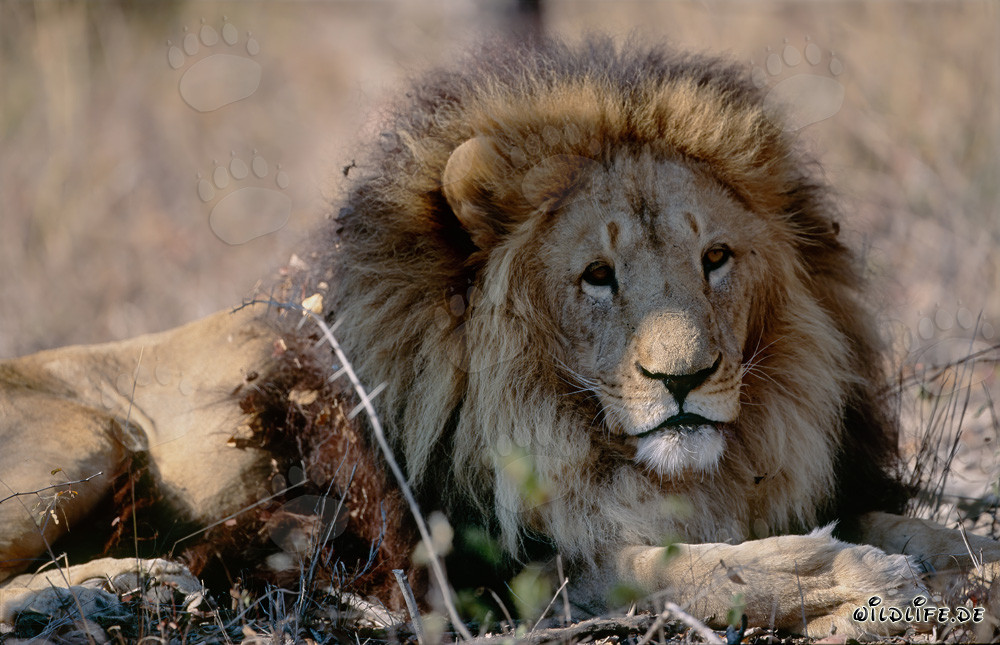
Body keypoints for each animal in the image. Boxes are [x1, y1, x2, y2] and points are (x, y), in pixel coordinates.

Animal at [2, 38, 999, 639]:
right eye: (596, 275)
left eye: (715, 258)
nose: (686, 378)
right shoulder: (469, 572)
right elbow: (674, 571)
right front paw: (859, 577)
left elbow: (933, 532)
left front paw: (945, 560)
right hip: (84, 437)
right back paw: (122, 585)